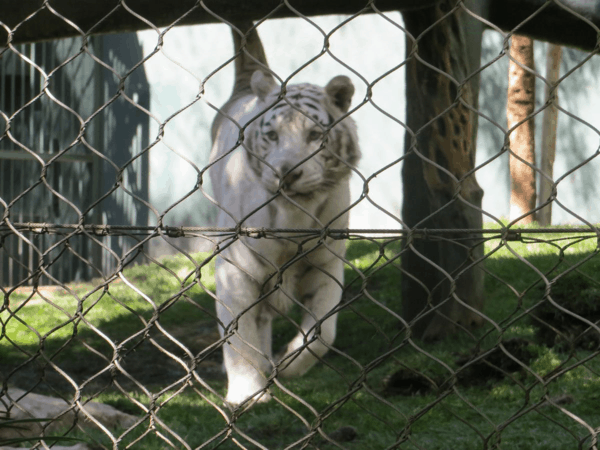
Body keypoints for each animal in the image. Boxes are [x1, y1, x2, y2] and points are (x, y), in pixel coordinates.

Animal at [210, 22, 360, 406]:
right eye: (273, 135)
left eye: (315, 134)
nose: (287, 173)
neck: (296, 216)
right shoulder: (237, 269)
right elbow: (239, 334)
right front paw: (246, 392)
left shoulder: (325, 263)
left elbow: (322, 333)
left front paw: (289, 364)